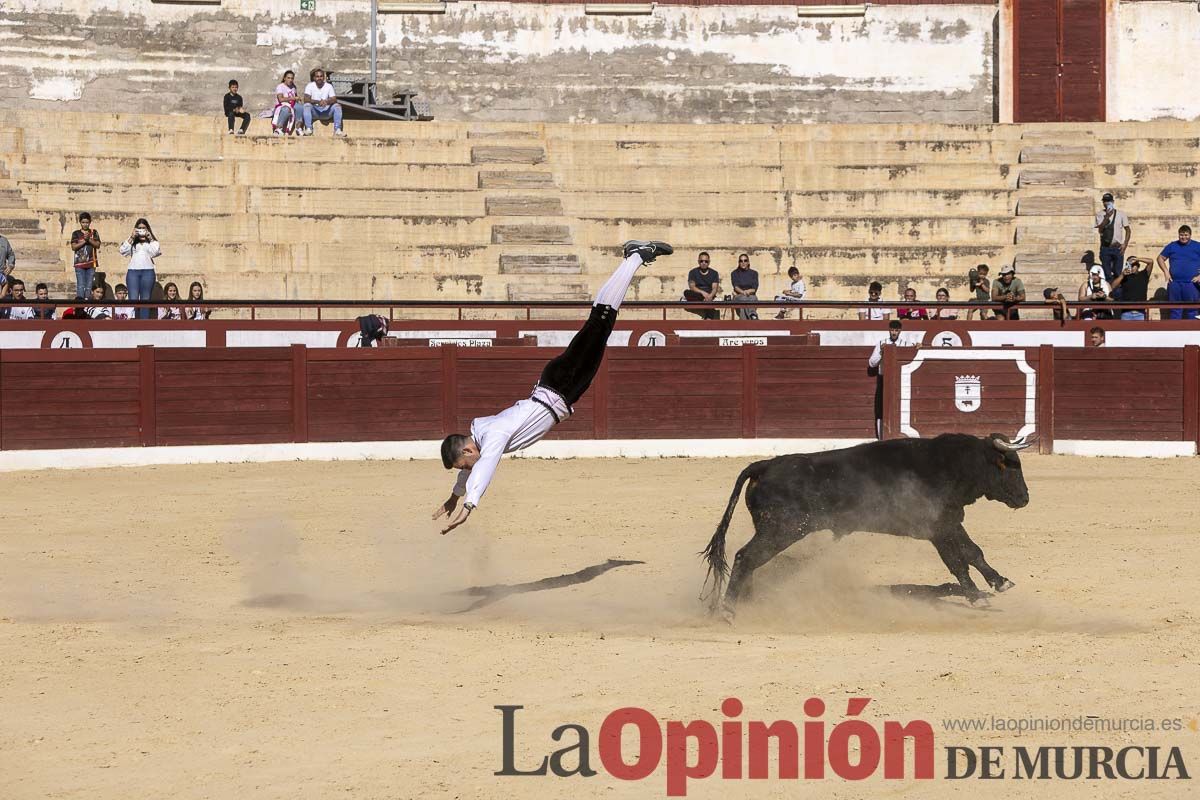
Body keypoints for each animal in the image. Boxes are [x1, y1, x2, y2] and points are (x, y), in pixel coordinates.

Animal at [700, 434, 1032, 618]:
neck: (953, 463)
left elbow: (972, 553)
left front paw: (996, 584)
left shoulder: (948, 524)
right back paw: (729, 609)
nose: (1025, 498)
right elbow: (960, 561)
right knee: (745, 558)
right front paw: (981, 594)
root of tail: (764, 465)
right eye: (1010, 466)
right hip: (781, 530)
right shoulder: (939, 527)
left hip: (776, 531)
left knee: (751, 562)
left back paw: (746, 604)